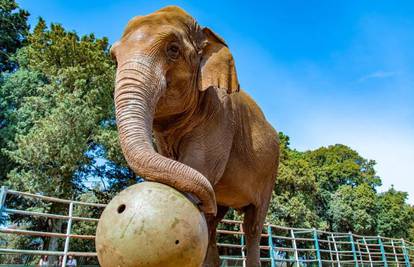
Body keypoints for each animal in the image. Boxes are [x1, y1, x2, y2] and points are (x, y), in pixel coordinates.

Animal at [111, 6, 280, 267]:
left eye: (173, 49)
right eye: (113, 58)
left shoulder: (220, 114)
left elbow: (198, 167)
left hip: (269, 173)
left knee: (252, 224)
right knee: (212, 221)